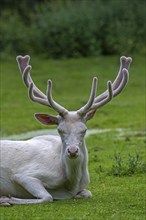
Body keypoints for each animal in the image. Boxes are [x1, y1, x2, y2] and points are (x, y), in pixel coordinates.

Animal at [0, 55, 132, 205]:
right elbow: (47, 197)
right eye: (59, 130)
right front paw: (6, 198)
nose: (72, 151)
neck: (71, 181)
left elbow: (87, 193)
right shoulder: (24, 175)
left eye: (84, 130)